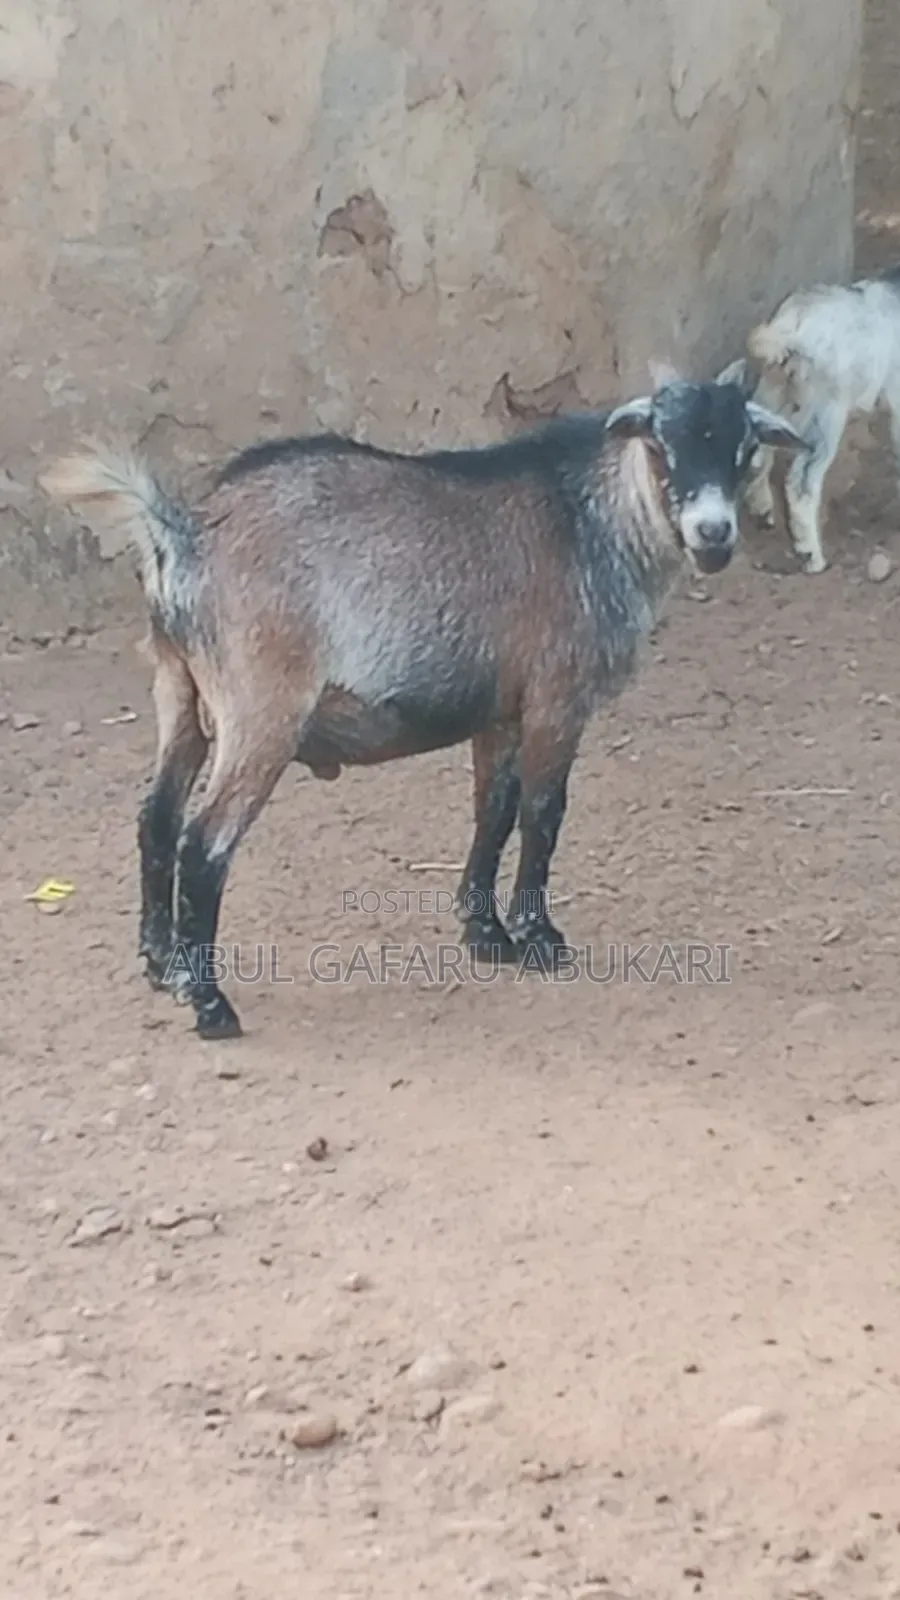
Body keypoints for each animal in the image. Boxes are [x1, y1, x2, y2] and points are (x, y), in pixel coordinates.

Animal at [40, 370, 805, 1040]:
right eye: (662, 444)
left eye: (744, 448)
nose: (714, 533)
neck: (587, 520)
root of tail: (181, 534)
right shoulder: (557, 697)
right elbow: (543, 813)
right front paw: (539, 938)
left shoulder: (500, 710)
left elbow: (494, 811)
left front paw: (485, 934)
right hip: (260, 711)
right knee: (204, 844)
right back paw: (210, 1005)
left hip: (180, 693)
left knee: (156, 818)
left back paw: (161, 965)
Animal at [733, 265, 900, 573]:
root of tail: (791, 327)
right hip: (825, 416)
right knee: (801, 484)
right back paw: (811, 554)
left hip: (771, 394)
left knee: (759, 450)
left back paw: (762, 508)